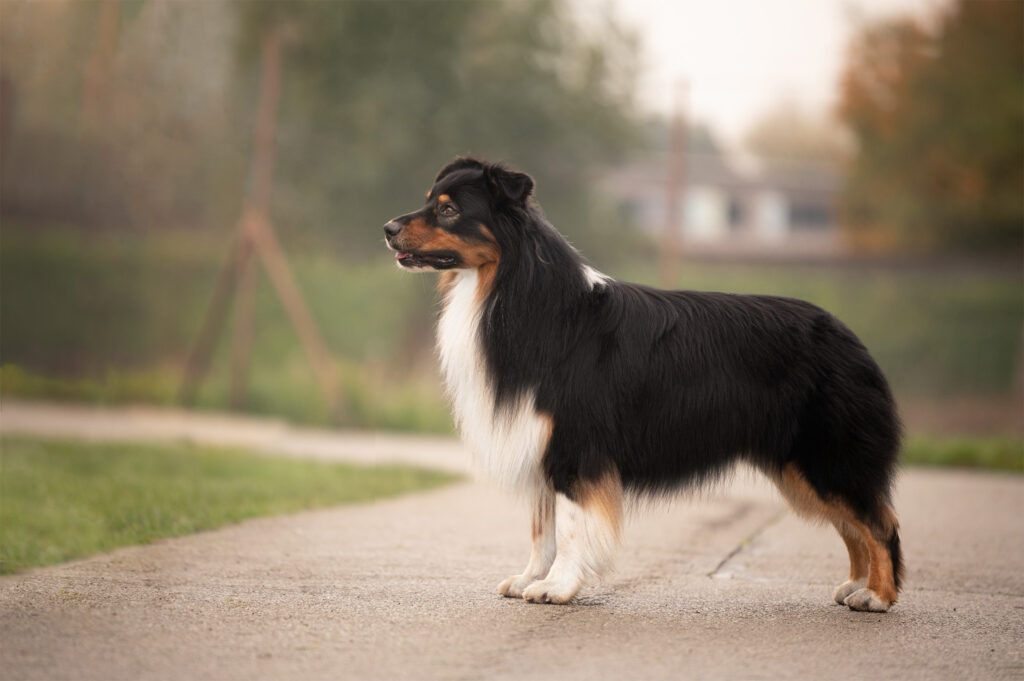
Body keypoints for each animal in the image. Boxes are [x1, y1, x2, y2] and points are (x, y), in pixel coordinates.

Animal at [385, 157, 905, 610]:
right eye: (430, 200)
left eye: (449, 210)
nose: (387, 229)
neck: (511, 288)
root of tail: (850, 337)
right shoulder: (539, 442)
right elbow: (541, 528)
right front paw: (530, 578)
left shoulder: (574, 446)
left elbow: (569, 526)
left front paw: (557, 587)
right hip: (805, 468)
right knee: (855, 525)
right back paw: (855, 586)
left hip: (827, 457)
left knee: (879, 523)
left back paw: (877, 597)